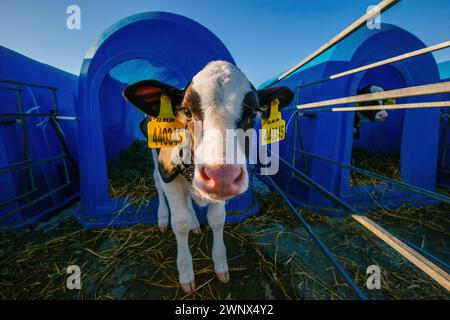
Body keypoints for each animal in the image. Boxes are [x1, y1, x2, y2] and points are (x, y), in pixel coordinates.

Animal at [123, 60, 294, 292]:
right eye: (186, 111)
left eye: (253, 114)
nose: (222, 176)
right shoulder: (169, 174)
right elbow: (179, 223)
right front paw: (185, 271)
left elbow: (217, 220)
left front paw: (221, 265)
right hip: (154, 155)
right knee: (158, 183)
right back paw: (163, 217)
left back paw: (195, 222)